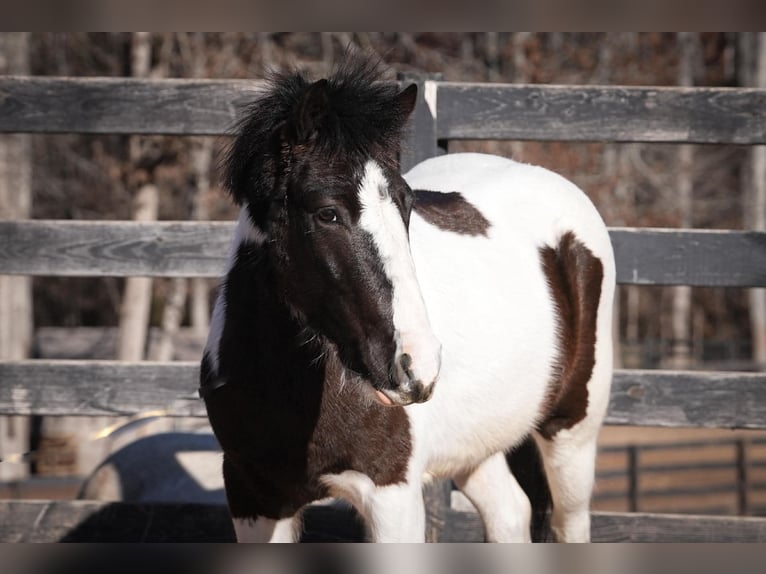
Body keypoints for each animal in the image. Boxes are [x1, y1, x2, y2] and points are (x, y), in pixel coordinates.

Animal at [200, 57, 616, 543]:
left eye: (407, 202)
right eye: (327, 213)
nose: (417, 365)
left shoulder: (391, 495)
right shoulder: (253, 497)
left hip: (573, 433)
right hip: (476, 447)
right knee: (510, 512)